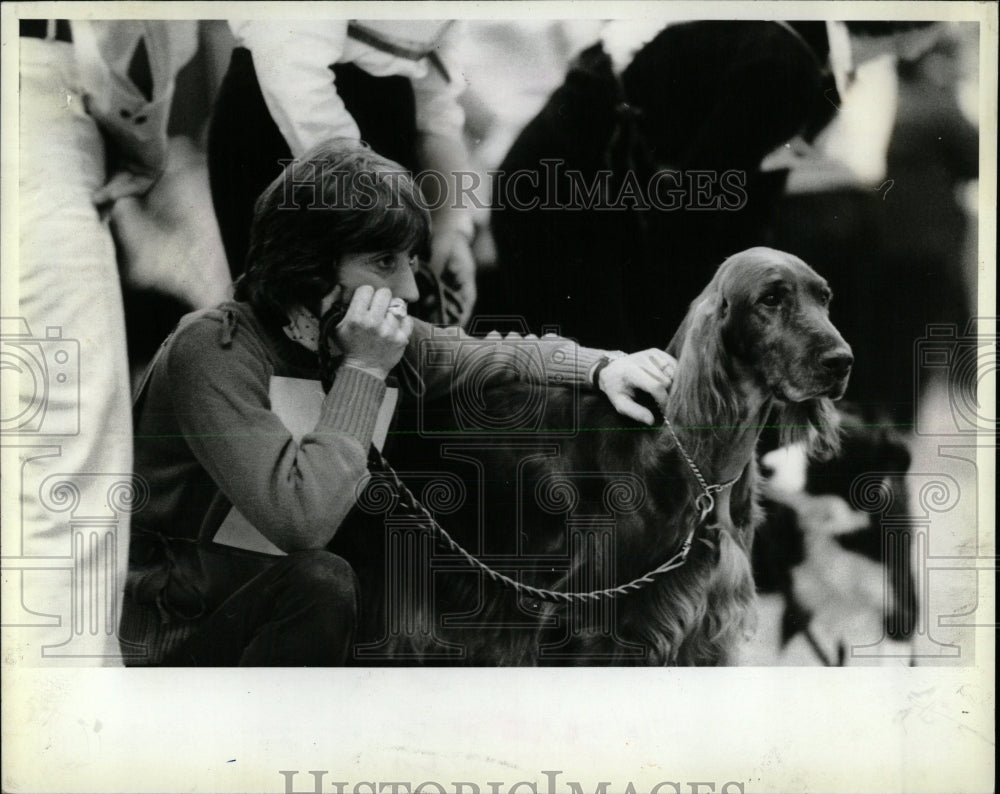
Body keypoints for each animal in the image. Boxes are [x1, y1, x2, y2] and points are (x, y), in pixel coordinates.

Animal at [338, 246, 852, 664]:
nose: (842, 361)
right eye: (771, 299)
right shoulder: (592, 626)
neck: (701, 470)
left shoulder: (702, 628)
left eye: (824, 297)